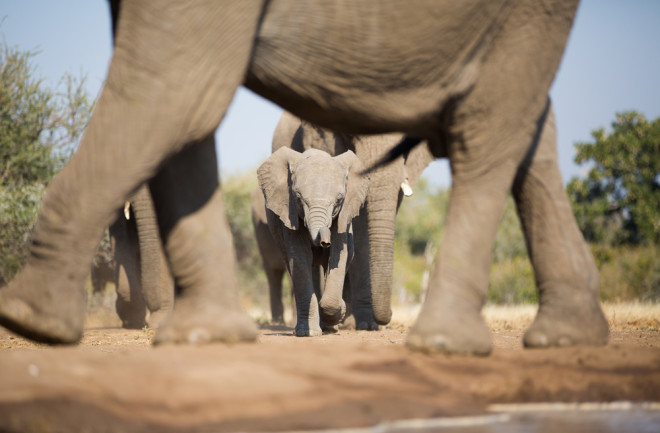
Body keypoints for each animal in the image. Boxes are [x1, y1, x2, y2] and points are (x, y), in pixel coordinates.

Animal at [258, 147, 368, 336]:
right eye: (298, 198)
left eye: (339, 200)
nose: (324, 242)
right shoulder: (289, 214)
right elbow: (300, 259)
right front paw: (306, 333)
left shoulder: (342, 218)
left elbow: (338, 257)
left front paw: (337, 315)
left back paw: (329, 327)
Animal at [270, 111, 436, 328]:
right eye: (351, 136)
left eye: (407, 143)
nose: (390, 314)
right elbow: (359, 228)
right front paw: (364, 324)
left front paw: (366, 325)